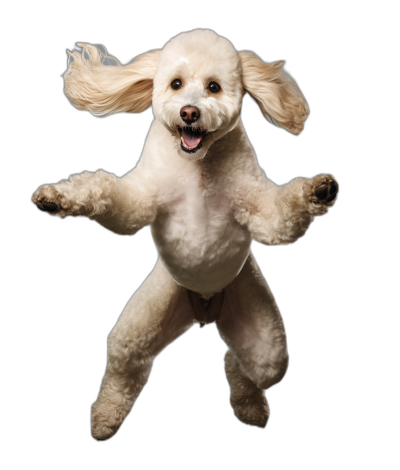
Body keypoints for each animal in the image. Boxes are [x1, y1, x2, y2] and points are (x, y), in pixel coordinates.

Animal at [31, 29, 340, 440]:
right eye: (176, 84)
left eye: (213, 87)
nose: (189, 112)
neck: (198, 166)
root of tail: (205, 309)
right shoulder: (139, 199)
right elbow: (105, 193)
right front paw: (57, 198)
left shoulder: (260, 207)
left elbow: (281, 218)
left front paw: (317, 192)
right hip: (142, 321)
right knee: (125, 367)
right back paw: (105, 419)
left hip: (265, 339)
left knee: (245, 366)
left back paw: (250, 407)